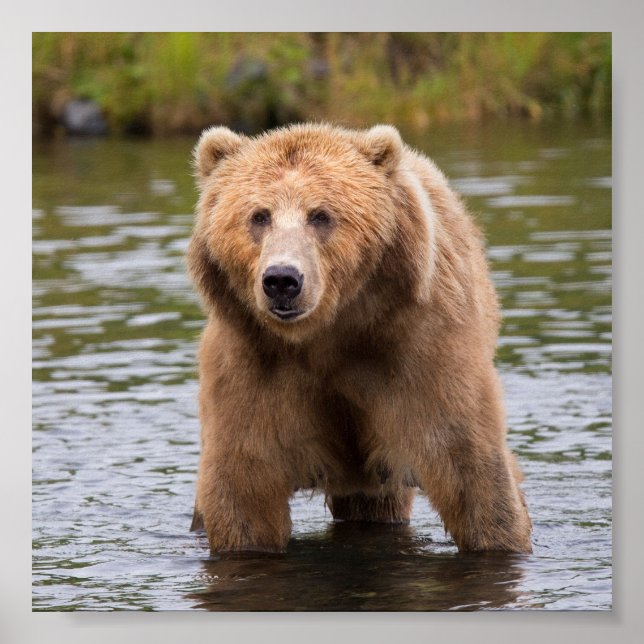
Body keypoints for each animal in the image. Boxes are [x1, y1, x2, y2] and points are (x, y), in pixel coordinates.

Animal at [187, 122, 532, 554]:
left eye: (320, 215)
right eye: (259, 216)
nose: (282, 280)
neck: (329, 334)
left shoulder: (419, 351)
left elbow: (469, 467)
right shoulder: (253, 364)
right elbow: (244, 486)